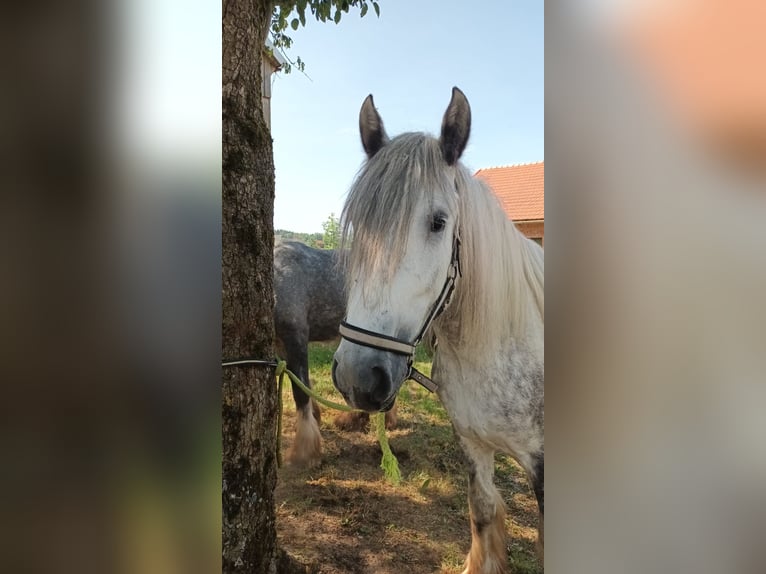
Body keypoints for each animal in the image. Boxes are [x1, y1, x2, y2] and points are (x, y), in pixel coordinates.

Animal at [273, 240, 397, 468]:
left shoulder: (296, 337)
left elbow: (300, 392)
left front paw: (305, 453)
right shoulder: (281, 344)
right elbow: (302, 382)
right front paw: (315, 417)